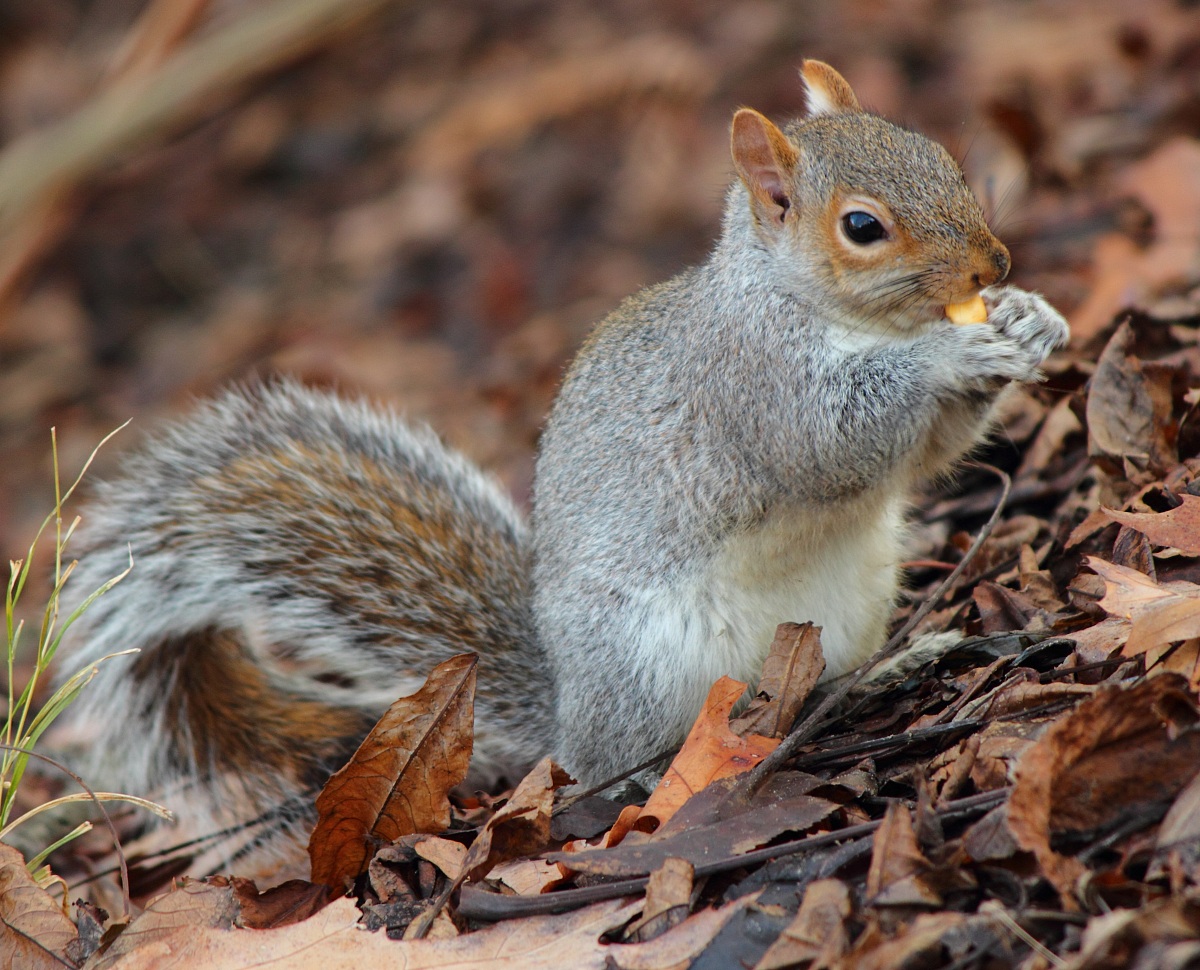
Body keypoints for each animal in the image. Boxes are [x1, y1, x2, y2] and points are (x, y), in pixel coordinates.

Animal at [50, 61, 1068, 876]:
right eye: (862, 226)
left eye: (940, 155)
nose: (996, 262)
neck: (814, 306)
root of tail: (566, 718)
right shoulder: (751, 385)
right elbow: (835, 441)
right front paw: (952, 355)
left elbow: (927, 453)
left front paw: (1030, 319)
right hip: (648, 667)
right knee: (611, 779)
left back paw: (890, 669)